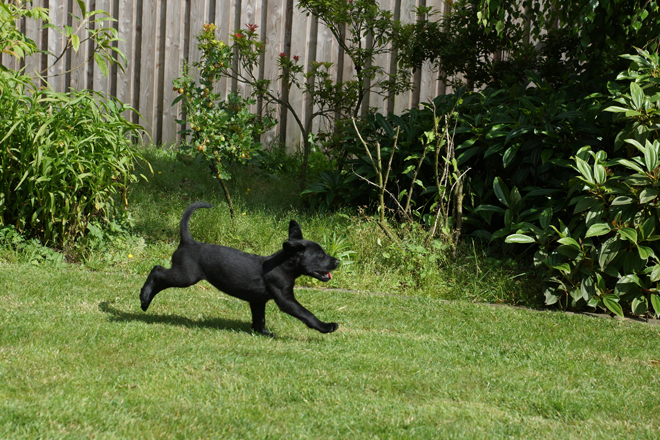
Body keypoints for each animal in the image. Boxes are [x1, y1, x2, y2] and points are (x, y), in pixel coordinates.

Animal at [137, 201, 338, 336]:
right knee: (157, 270)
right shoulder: (286, 299)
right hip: (185, 276)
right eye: (321, 255)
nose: (337, 262)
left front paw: (263, 332)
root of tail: (188, 241)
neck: (282, 266)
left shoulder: (258, 301)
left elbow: (259, 318)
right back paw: (144, 298)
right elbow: (306, 314)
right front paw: (327, 326)